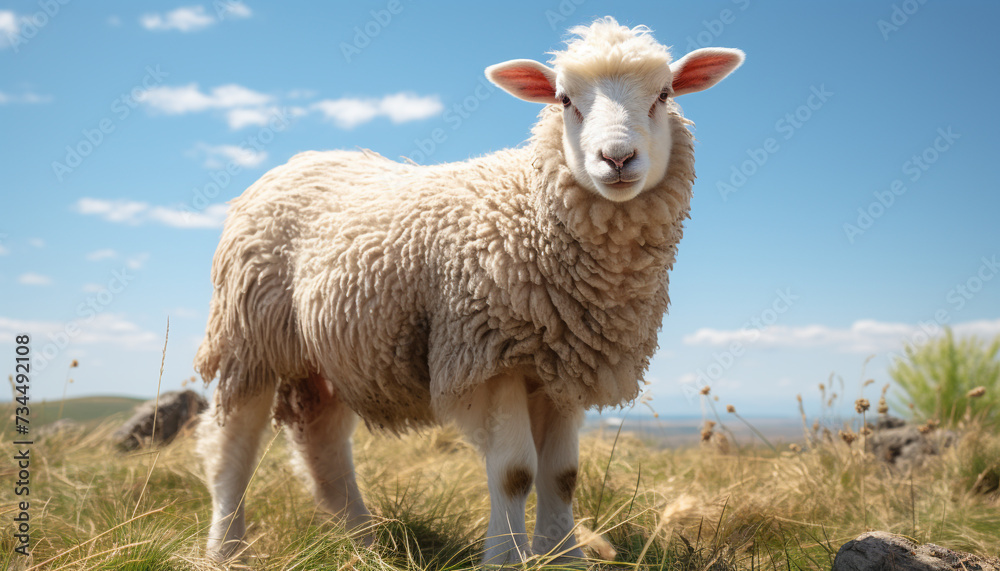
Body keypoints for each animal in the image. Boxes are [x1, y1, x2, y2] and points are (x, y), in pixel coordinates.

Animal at [195, 16, 743, 565]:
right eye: (564, 99)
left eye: (664, 94)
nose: (618, 157)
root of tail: (298, 161)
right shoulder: (486, 353)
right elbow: (516, 471)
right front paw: (507, 558)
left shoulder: (564, 363)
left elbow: (562, 476)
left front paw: (563, 556)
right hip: (249, 332)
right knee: (231, 446)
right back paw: (227, 550)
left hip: (332, 353)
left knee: (322, 444)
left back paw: (365, 545)